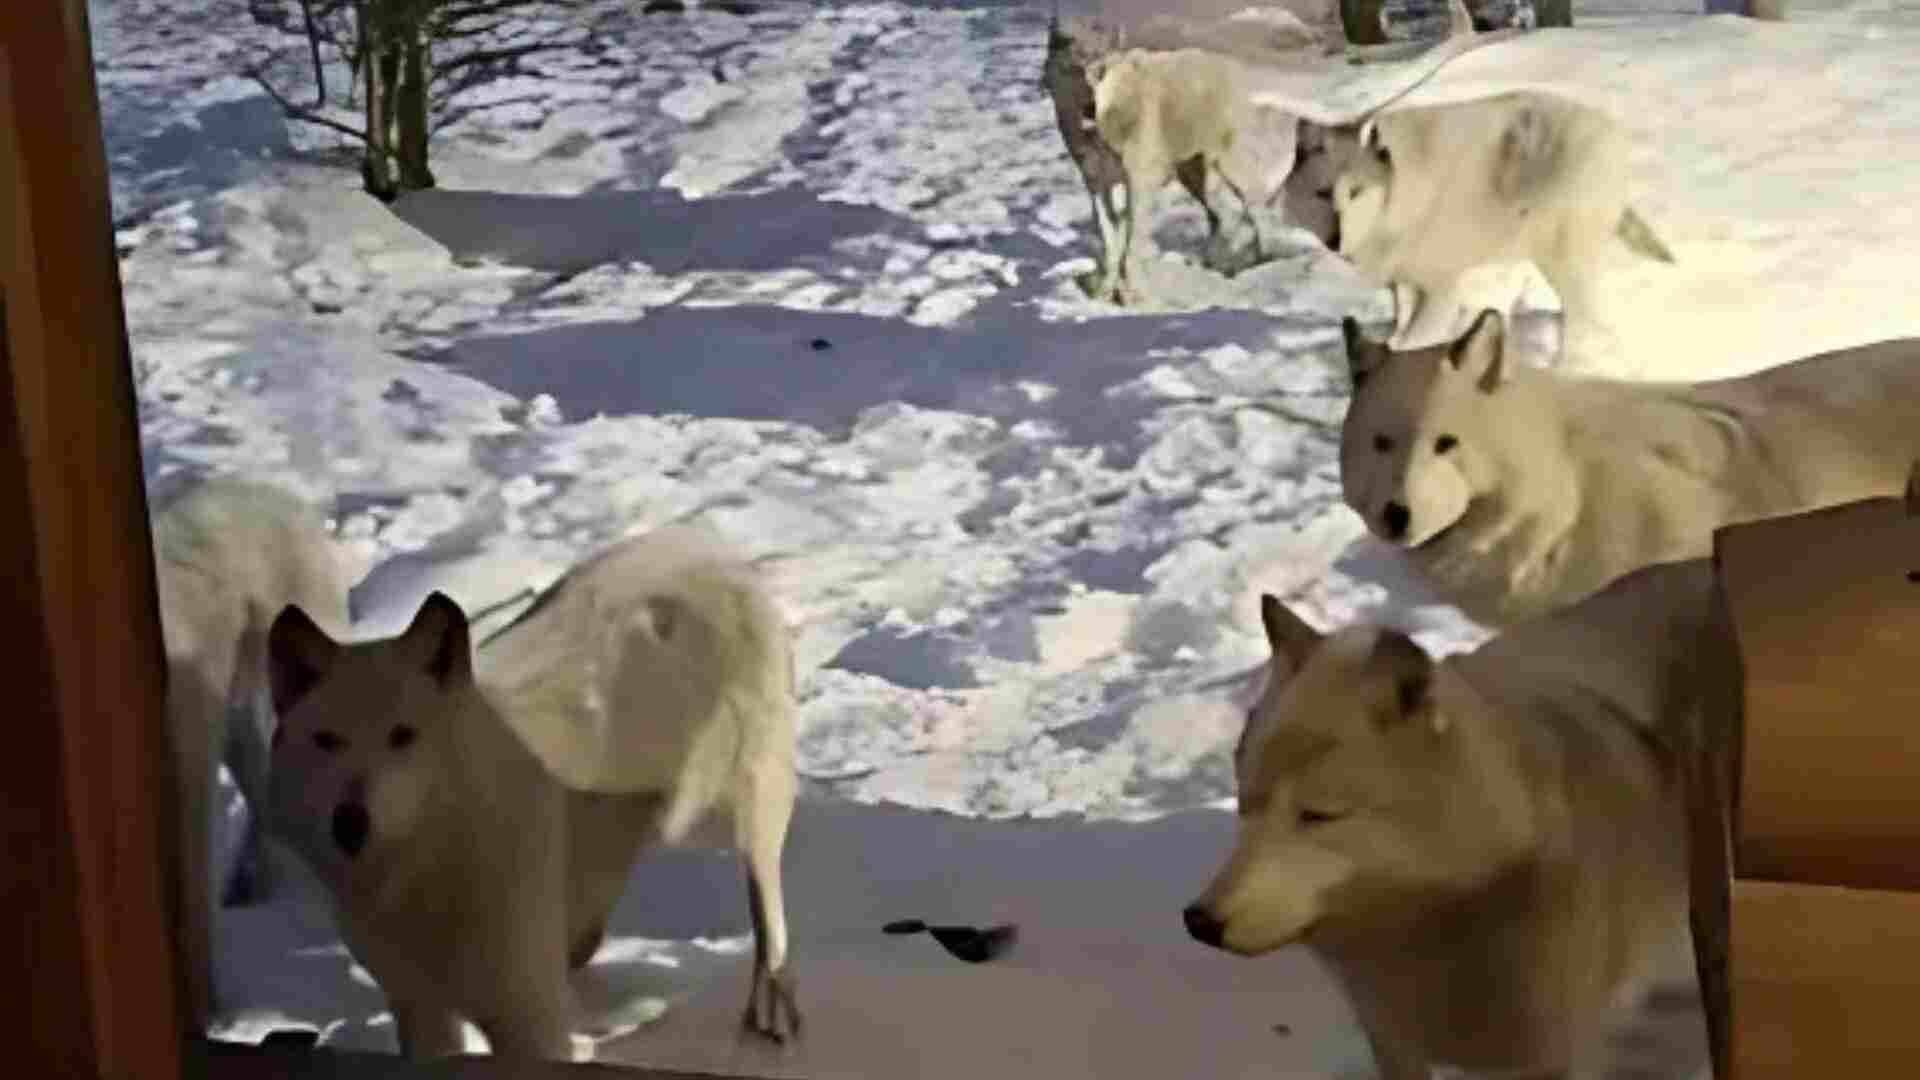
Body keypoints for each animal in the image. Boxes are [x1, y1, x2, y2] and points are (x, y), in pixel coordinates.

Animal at [264, 526, 802, 1053]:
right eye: (327, 740)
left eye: (403, 735)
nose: (349, 822)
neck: (426, 873)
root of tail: (706, 548)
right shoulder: (420, 1009)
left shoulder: (527, 1023)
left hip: (725, 813)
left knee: (766, 896)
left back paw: (772, 1000)